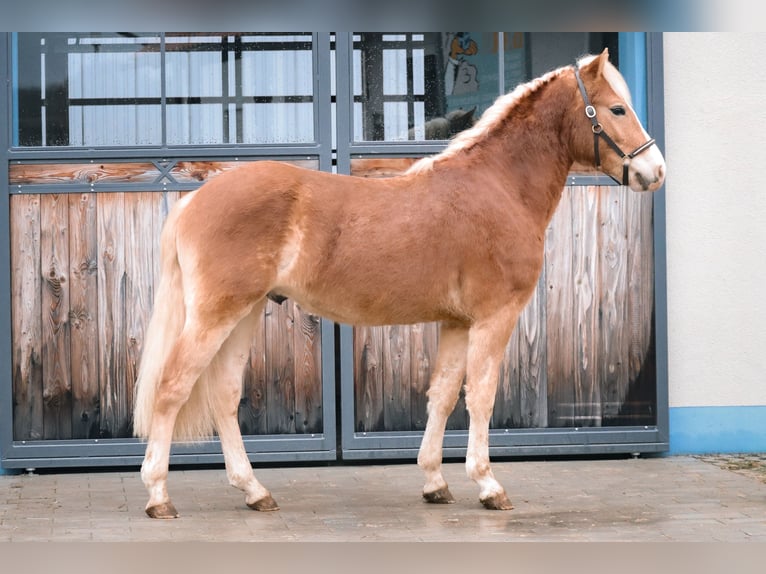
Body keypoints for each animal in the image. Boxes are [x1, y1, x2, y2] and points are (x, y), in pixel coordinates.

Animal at [133, 48, 665, 519]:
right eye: (617, 108)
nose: (655, 171)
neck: (497, 186)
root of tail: (194, 200)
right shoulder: (494, 317)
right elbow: (482, 394)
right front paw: (488, 485)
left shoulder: (457, 322)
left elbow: (443, 395)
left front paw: (435, 482)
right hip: (215, 315)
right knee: (172, 387)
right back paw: (158, 496)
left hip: (243, 314)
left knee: (224, 396)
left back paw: (254, 491)